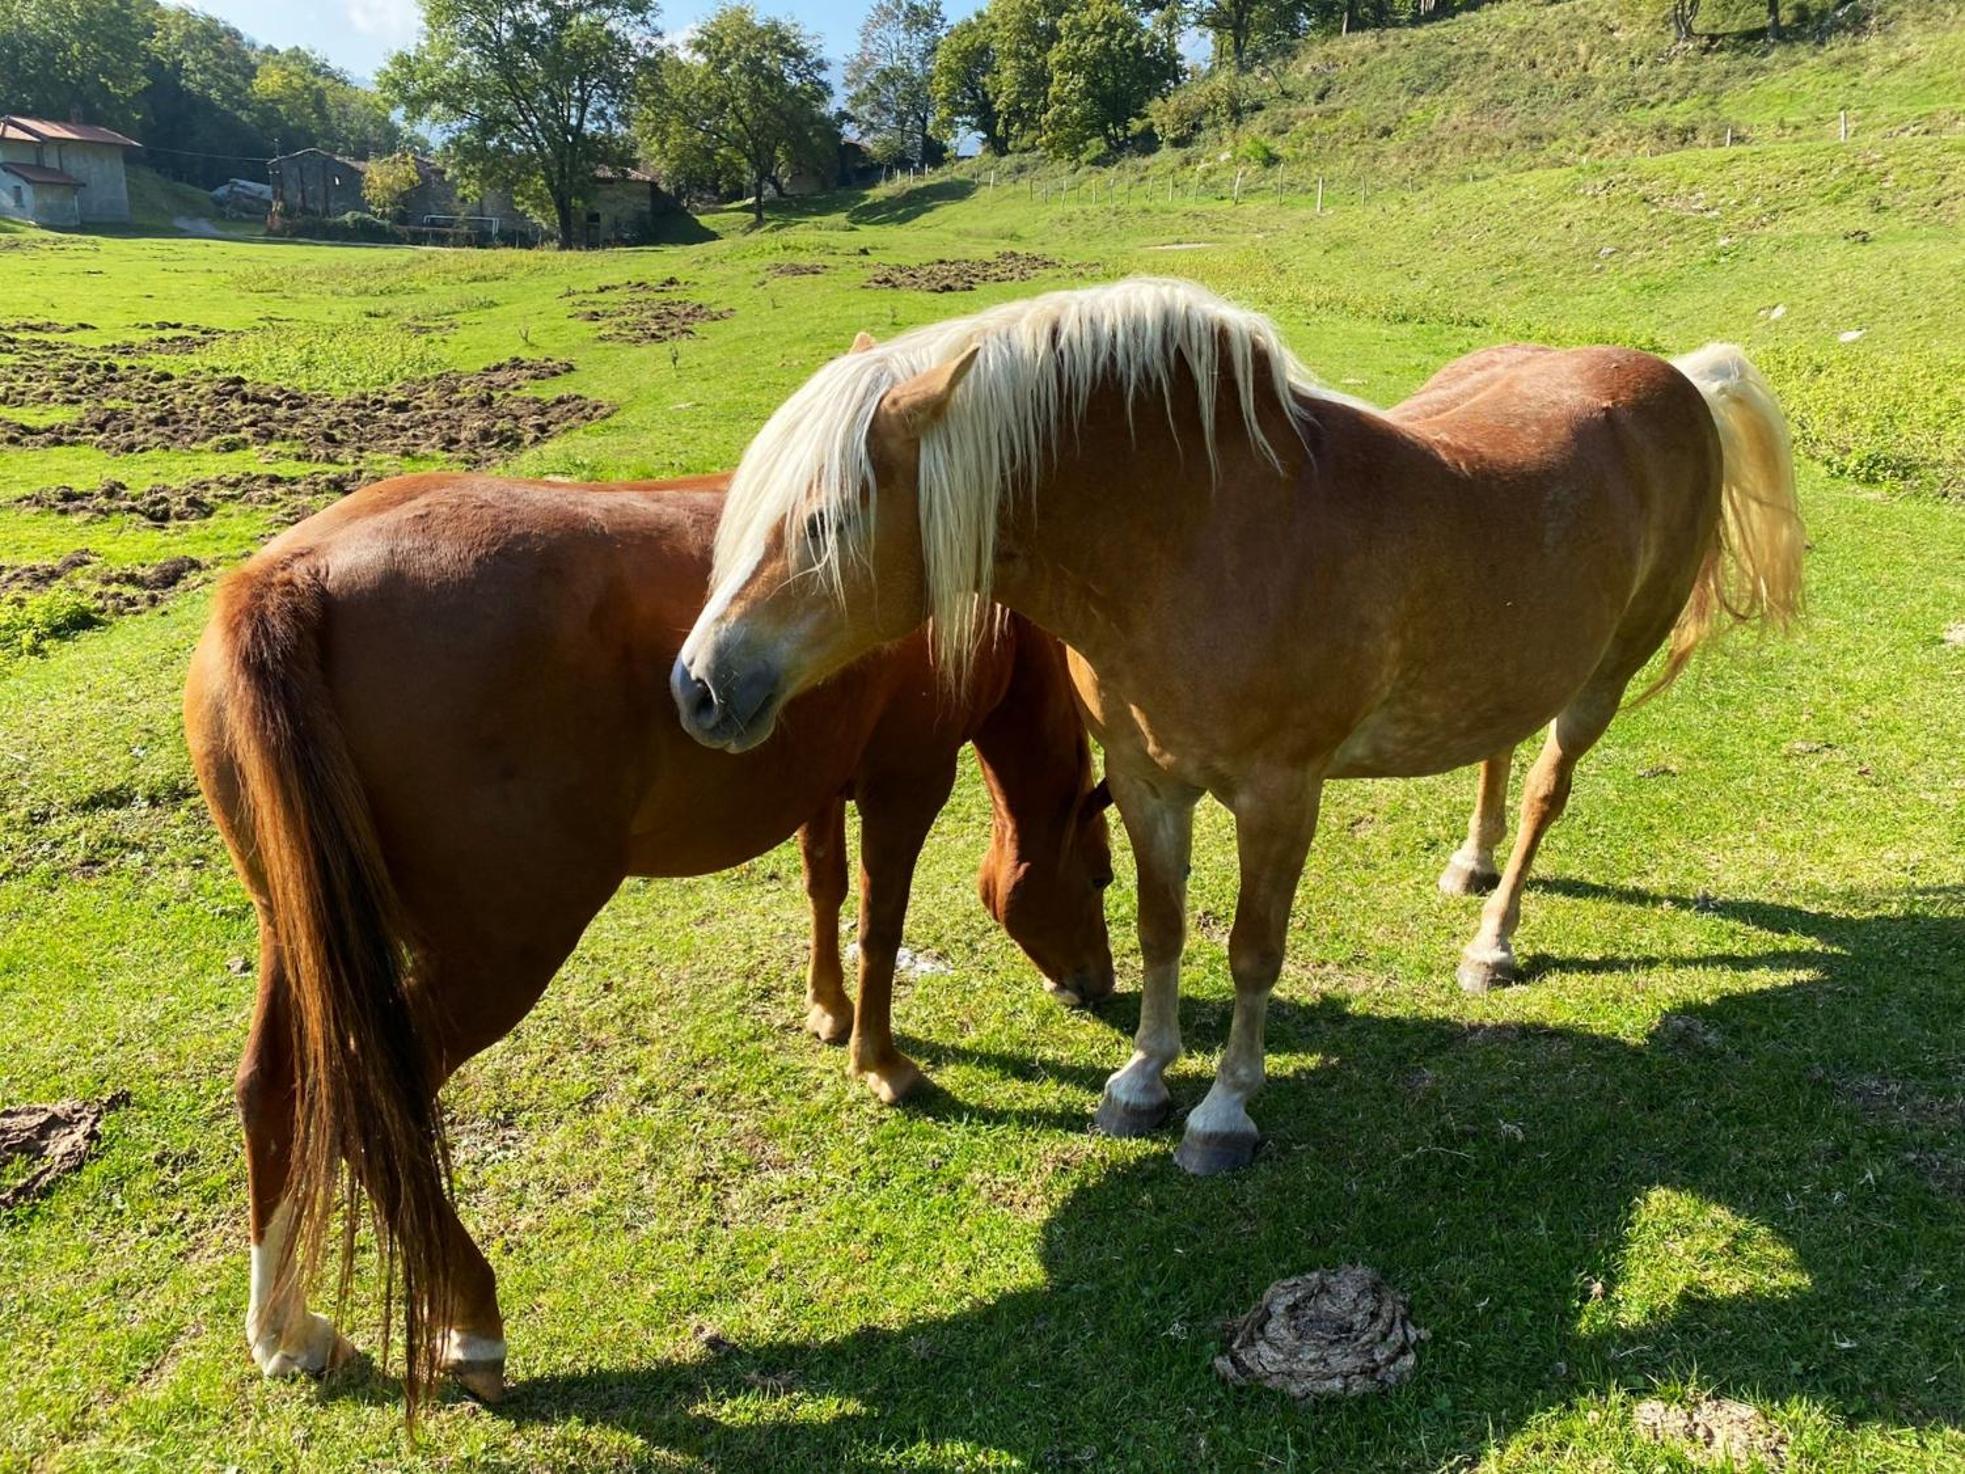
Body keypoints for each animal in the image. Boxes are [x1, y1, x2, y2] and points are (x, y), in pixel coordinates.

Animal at [185, 473, 1116, 1422]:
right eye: (1102, 878)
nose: (1096, 985)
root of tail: (292, 580)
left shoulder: (819, 781)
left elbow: (823, 887)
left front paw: (825, 1010)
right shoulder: (908, 778)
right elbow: (880, 925)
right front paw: (880, 1061)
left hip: (298, 931)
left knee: (278, 1088)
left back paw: (286, 1331)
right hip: (500, 952)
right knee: (379, 1095)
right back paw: (470, 1320)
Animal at [672, 271, 1799, 1187]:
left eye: (829, 519)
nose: (698, 687)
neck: (1198, 537)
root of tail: (1677, 379)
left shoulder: (1276, 796)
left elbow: (1253, 951)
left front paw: (1222, 1111)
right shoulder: (1146, 779)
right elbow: (1163, 928)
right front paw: (1138, 1080)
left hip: (1602, 678)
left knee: (1543, 791)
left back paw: (1493, 940)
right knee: (1494, 753)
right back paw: (1469, 867)